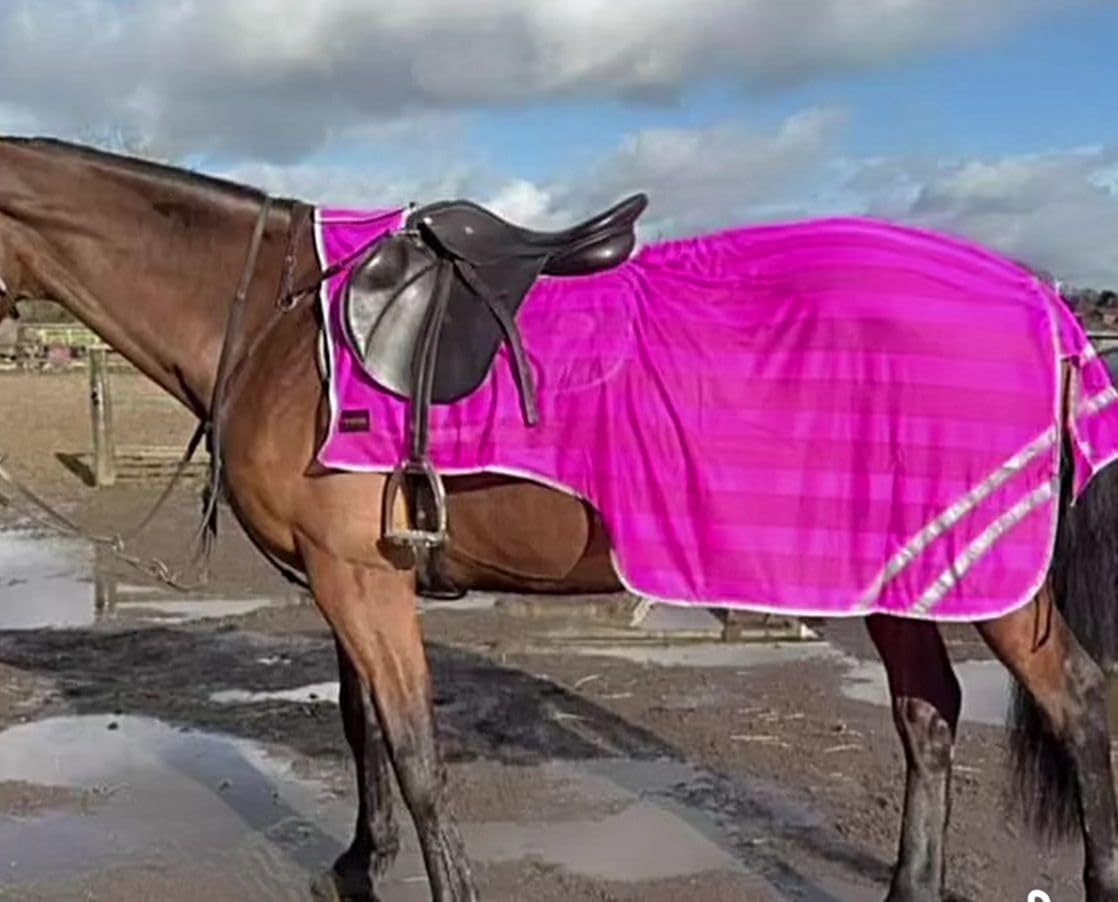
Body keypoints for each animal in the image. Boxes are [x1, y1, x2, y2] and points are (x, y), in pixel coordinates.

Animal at [1, 135, 1116, 902]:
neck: (282, 321)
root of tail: (1042, 302)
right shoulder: (343, 575)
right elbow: (364, 728)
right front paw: (357, 861)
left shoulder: (357, 576)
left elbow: (412, 749)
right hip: (896, 567)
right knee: (927, 718)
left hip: (986, 585)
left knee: (1077, 706)